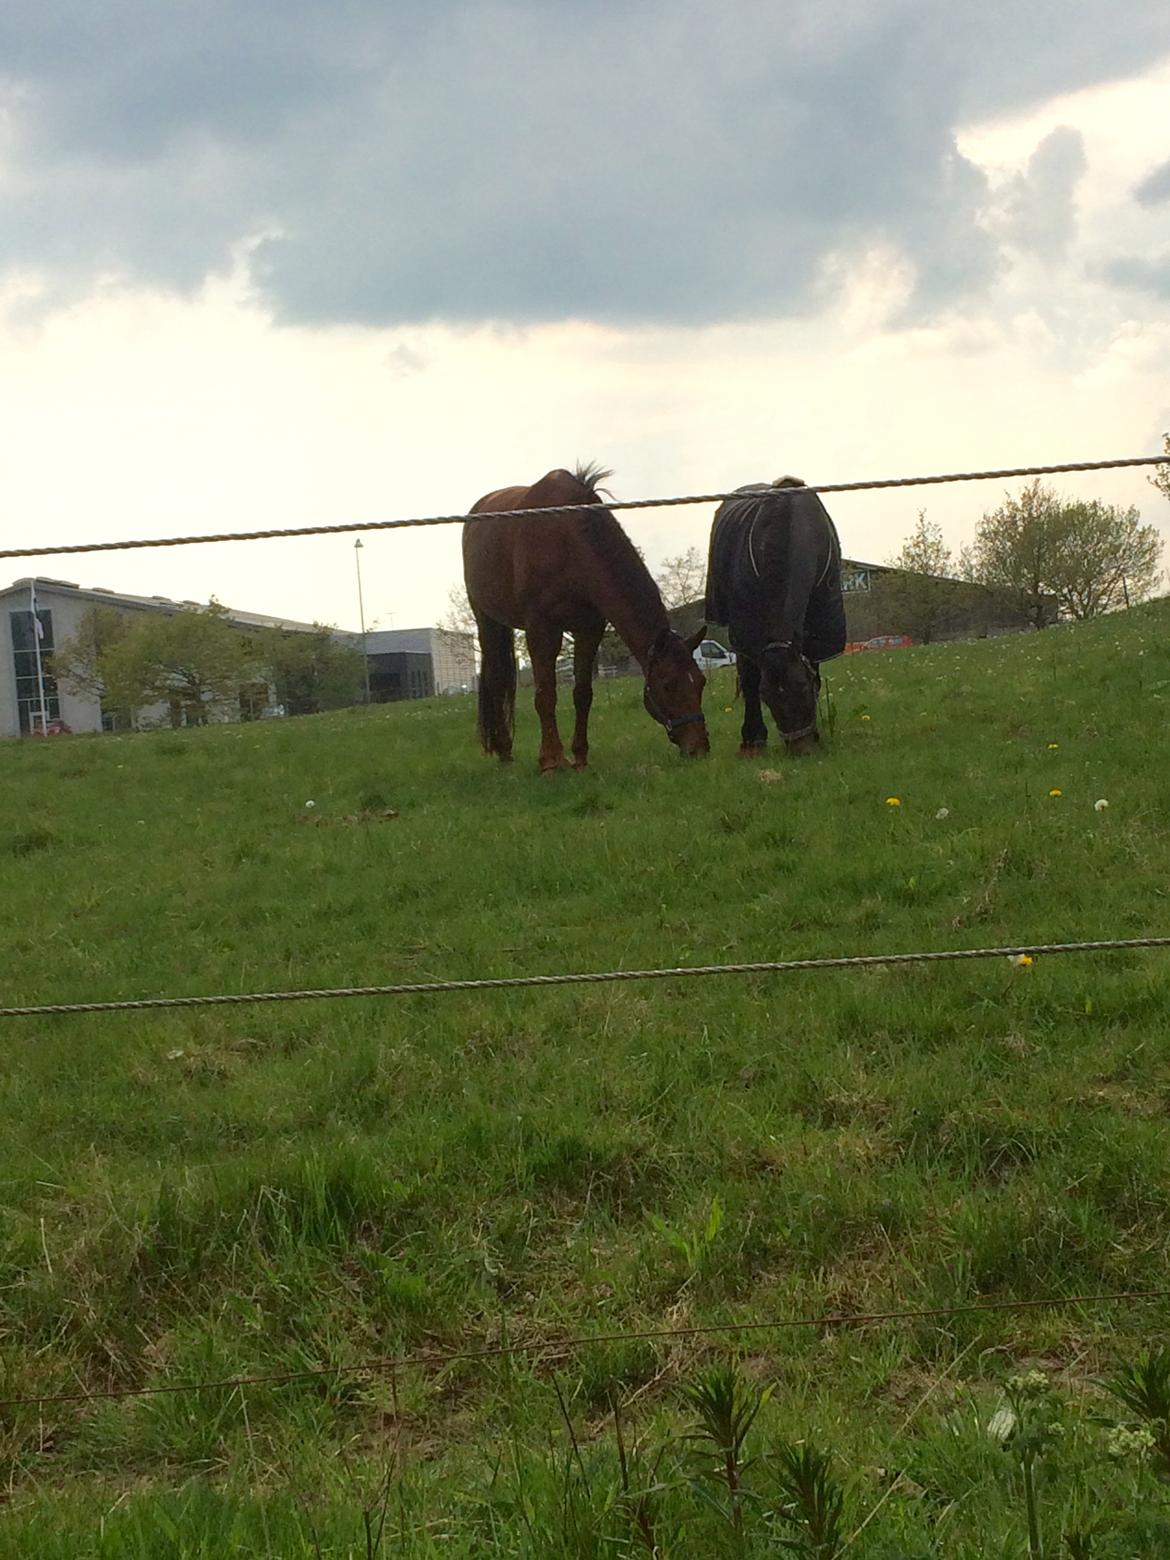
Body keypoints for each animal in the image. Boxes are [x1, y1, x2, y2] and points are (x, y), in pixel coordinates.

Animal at [464, 462, 710, 772]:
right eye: (668, 684)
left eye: (701, 681)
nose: (699, 747)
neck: (567, 538)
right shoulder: (542, 629)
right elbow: (545, 695)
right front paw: (551, 761)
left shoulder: (589, 629)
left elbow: (583, 694)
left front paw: (579, 757)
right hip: (486, 620)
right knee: (496, 680)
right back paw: (504, 749)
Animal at [704, 476, 846, 756]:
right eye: (767, 697)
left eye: (804, 688)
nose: (803, 750)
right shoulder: (744, 630)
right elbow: (749, 681)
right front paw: (753, 740)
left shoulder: (817, 627)